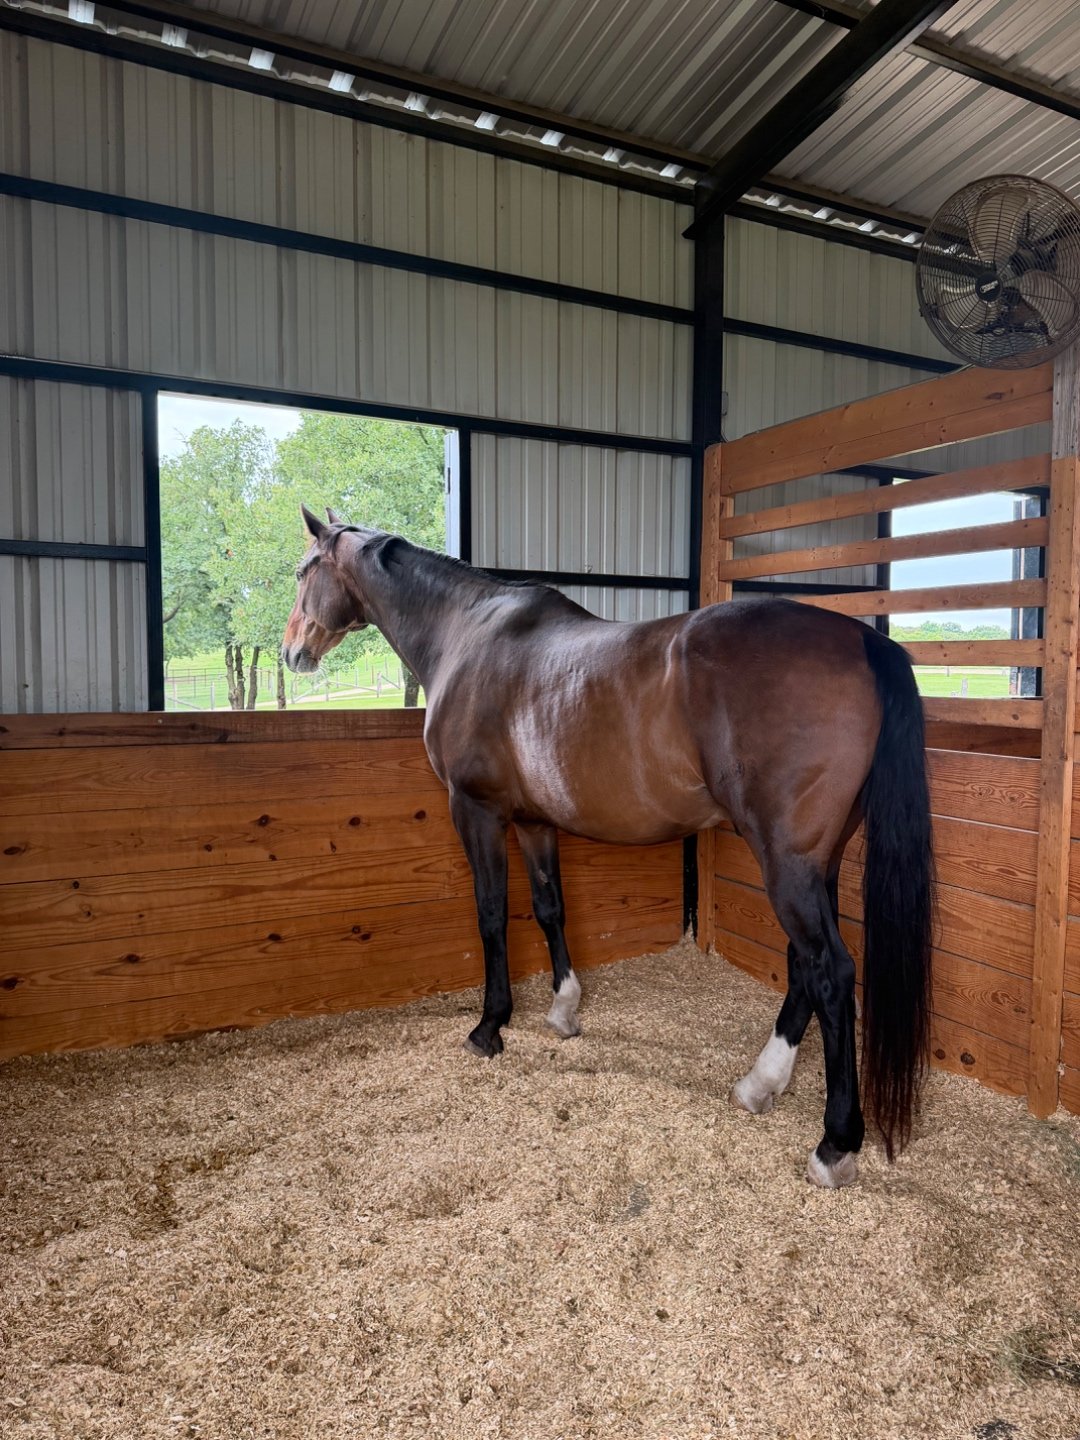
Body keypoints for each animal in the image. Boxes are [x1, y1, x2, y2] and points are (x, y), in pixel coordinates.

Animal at [281, 508, 934, 1189]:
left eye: (303, 572)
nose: (291, 650)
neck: (466, 632)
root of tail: (864, 641)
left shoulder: (476, 810)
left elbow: (491, 913)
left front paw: (490, 1026)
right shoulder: (533, 821)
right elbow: (549, 908)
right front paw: (564, 1011)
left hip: (786, 862)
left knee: (829, 971)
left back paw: (835, 1144)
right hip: (816, 862)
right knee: (804, 965)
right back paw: (761, 1083)